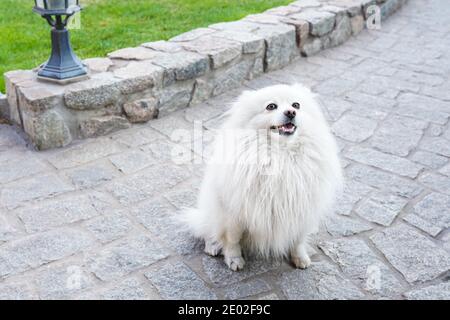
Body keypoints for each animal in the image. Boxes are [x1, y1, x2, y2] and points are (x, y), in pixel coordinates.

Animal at [181, 83, 342, 270]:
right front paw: (234, 260)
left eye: (296, 105)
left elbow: (298, 239)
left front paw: (300, 257)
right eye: (271, 106)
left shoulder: (302, 211)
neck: (281, 155)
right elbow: (232, 240)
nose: (291, 112)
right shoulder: (235, 214)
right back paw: (213, 246)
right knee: (209, 229)